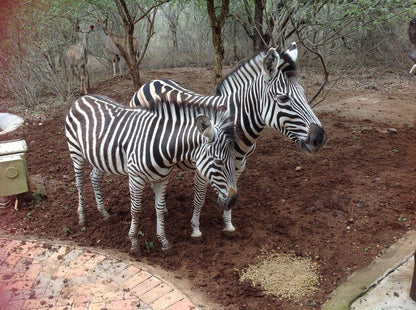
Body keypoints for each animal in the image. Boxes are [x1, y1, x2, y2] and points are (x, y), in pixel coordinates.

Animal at [66, 94, 239, 252]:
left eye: (234, 159)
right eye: (218, 162)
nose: (232, 201)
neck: (161, 145)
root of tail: (82, 97)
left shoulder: (162, 179)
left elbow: (160, 209)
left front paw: (163, 241)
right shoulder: (135, 178)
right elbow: (136, 210)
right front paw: (134, 242)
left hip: (100, 157)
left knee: (95, 178)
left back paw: (104, 213)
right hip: (76, 153)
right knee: (80, 182)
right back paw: (82, 217)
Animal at [130, 42, 328, 239]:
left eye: (303, 93)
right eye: (283, 98)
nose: (320, 138)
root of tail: (151, 82)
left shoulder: (239, 165)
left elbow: (232, 189)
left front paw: (228, 224)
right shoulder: (203, 167)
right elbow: (199, 198)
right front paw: (195, 228)